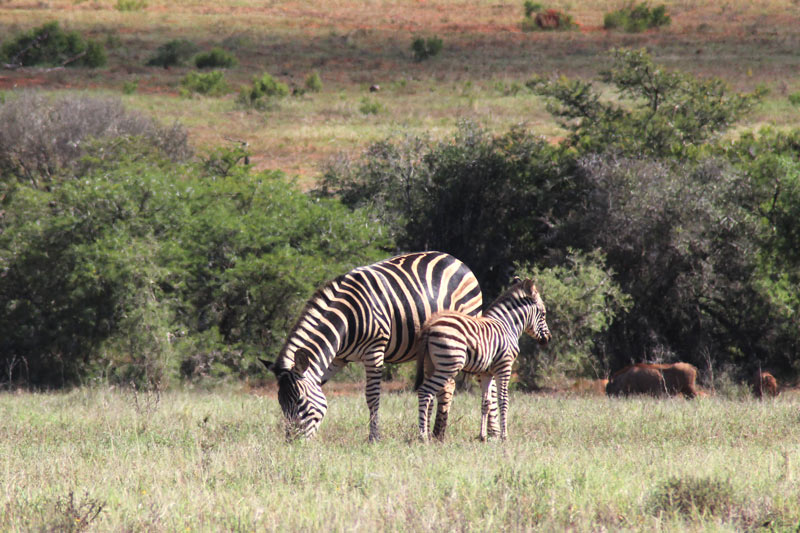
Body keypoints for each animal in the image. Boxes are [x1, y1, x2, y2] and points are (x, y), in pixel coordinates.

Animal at [260, 249, 494, 440]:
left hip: (466, 333)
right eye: (280, 403)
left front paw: (374, 438)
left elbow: (372, 397)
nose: (292, 442)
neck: (345, 320)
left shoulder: (374, 351)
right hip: (435, 349)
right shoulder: (337, 359)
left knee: (473, 379)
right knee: (443, 385)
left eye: (300, 401)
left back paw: (478, 434)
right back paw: (434, 432)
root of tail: (454, 259)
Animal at [412, 278, 552, 440]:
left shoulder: (487, 373)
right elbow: (503, 400)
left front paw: (483, 436)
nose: (548, 339)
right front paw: (504, 437)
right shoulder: (504, 366)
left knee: (429, 396)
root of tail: (430, 324)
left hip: (430, 365)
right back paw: (423, 436)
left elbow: (486, 402)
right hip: (449, 365)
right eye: (543, 314)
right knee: (425, 392)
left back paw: (427, 434)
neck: (507, 326)